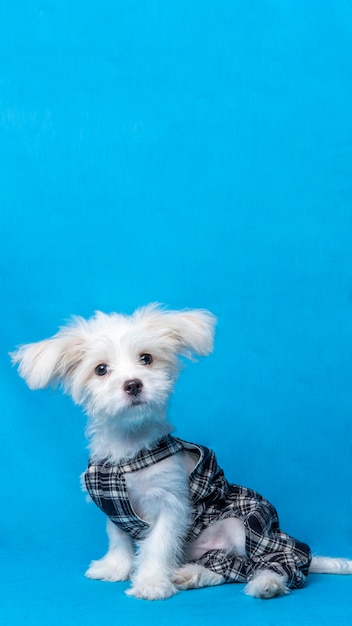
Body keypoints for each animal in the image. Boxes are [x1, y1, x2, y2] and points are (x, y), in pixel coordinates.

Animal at [11, 304, 352, 596]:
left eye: (146, 359)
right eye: (101, 369)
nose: (133, 384)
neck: (130, 450)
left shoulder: (171, 505)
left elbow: (158, 546)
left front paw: (150, 583)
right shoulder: (113, 505)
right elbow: (118, 539)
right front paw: (116, 568)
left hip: (244, 526)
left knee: (264, 562)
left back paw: (266, 584)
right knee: (225, 567)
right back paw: (191, 574)